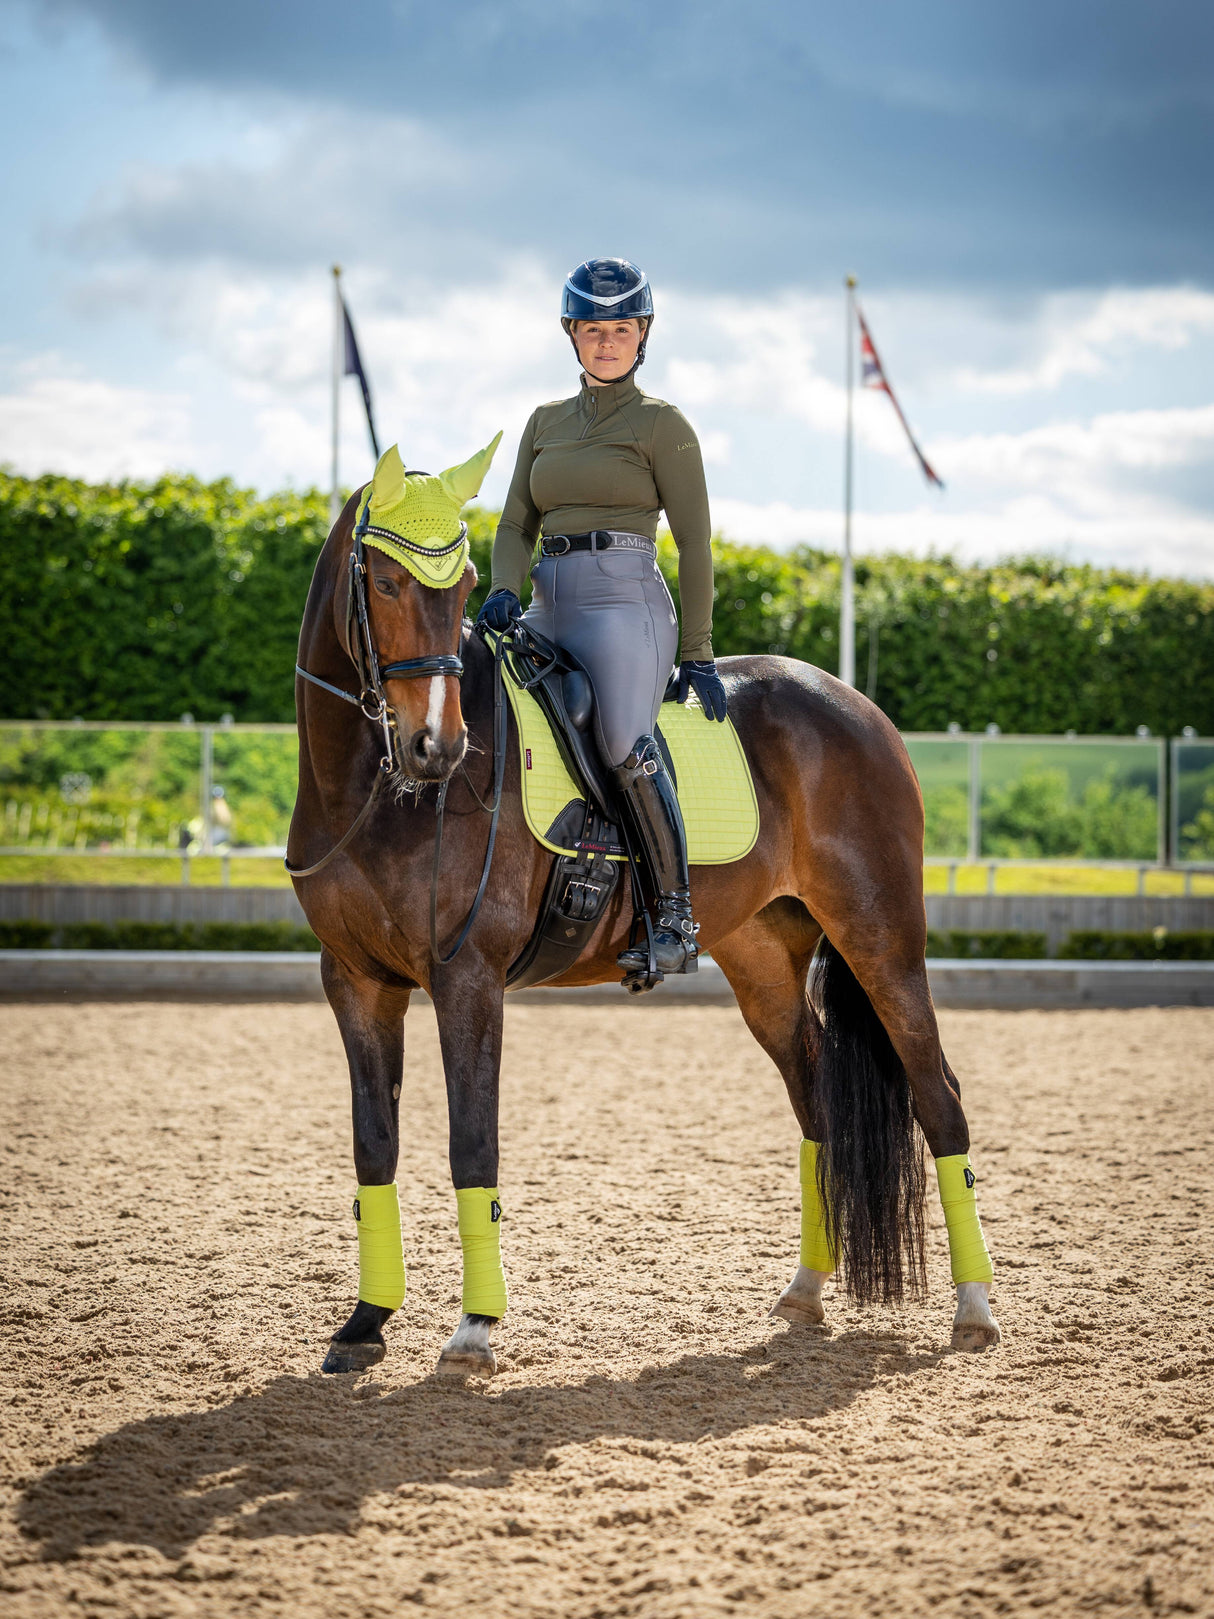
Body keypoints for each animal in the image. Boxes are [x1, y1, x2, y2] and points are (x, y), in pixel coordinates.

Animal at [289, 453, 1003, 1379]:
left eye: (466, 586)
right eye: (381, 580)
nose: (438, 748)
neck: (374, 792)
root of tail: (854, 704)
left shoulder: (466, 978)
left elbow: (472, 1143)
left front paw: (475, 1329)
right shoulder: (356, 981)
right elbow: (373, 1146)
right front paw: (364, 1322)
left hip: (881, 939)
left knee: (937, 1095)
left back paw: (975, 1309)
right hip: (764, 961)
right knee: (817, 1103)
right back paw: (806, 1291)